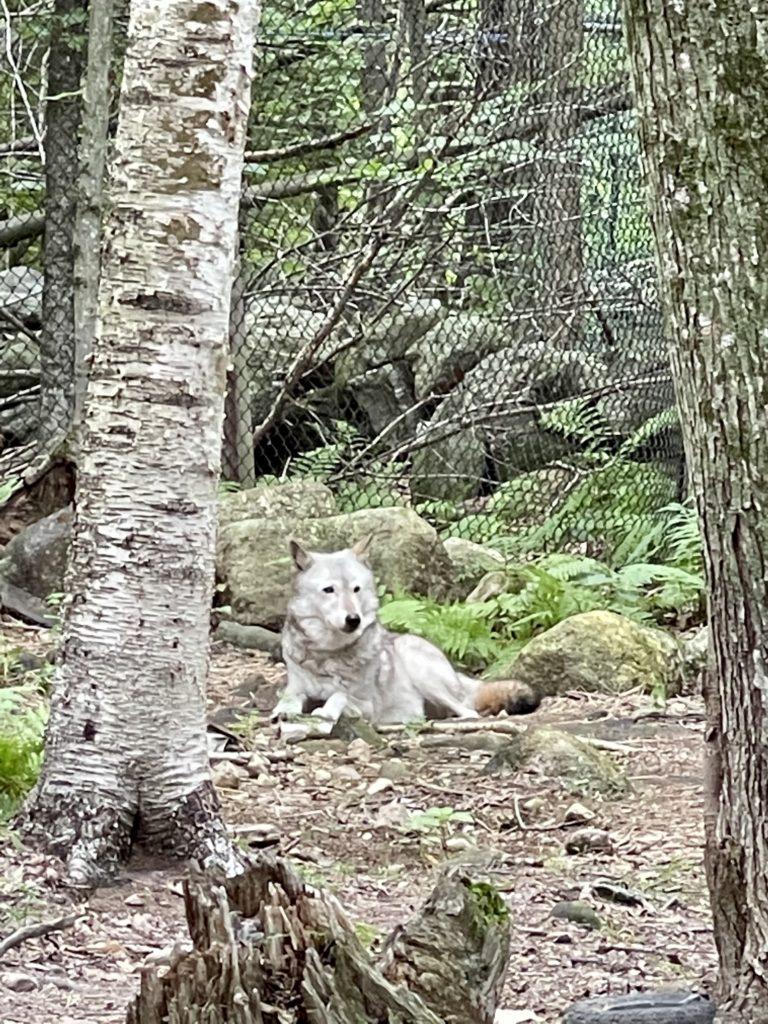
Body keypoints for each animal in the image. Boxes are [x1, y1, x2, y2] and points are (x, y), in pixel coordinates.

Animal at [272, 532, 540, 724]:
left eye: (356, 589)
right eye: (329, 590)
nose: (353, 619)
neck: (328, 656)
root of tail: (459, 676)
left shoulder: (367, 704)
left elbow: (340, 695)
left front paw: (324, 711)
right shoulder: (296, 688)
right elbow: (290, 699)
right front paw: (283, 711)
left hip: (420, 666)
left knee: (468, 710)